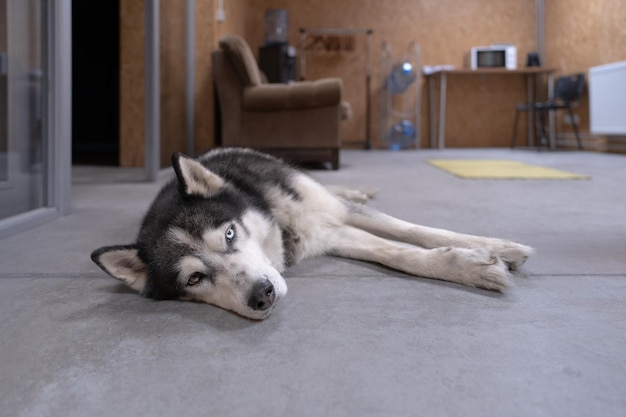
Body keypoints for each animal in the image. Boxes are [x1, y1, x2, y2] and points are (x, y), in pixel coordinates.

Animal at [91, 148, 532, 320]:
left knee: (337, 192)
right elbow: (397, 252)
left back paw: (356, 188)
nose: (263, 295)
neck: (282, 227)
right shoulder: (332, 233)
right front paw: (470, 264)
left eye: (229, 235)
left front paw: (492, 248)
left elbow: (411, 231)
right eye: (195, 278)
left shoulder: (330, 215)